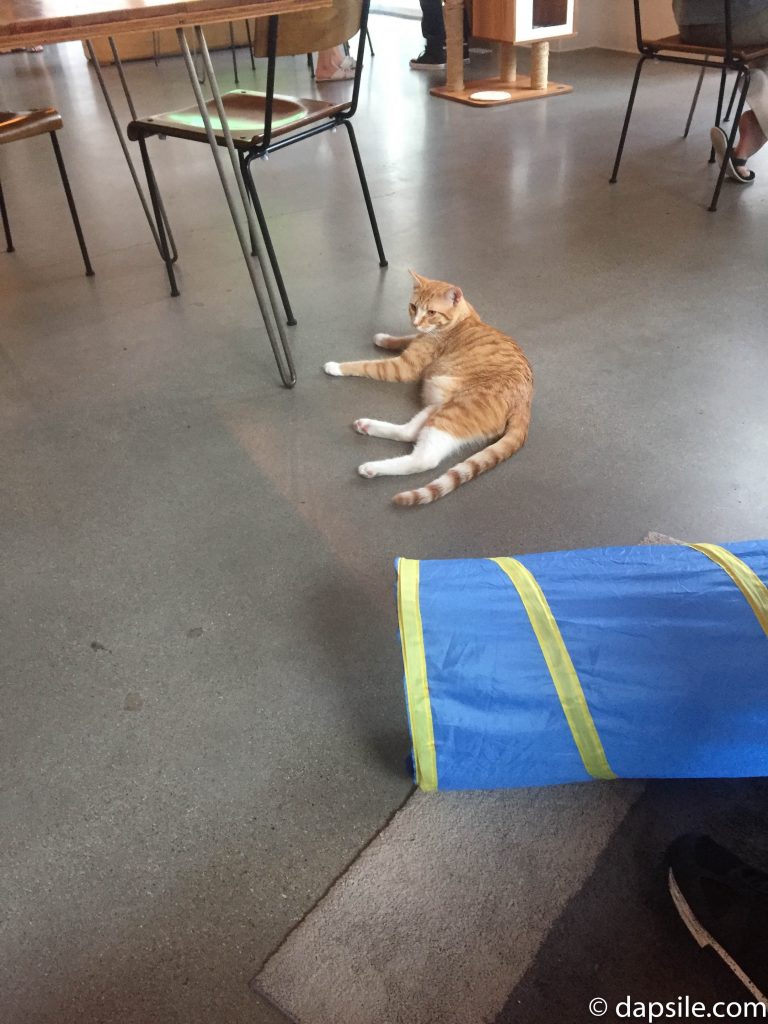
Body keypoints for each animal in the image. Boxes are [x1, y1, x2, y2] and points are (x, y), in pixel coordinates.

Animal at [325, 270, 536, 505]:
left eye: (432, 312)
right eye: (413, 307)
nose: (415, 322)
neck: (462, 319)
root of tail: (525, 403)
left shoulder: (403, 367)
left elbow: (365, 365)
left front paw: (336, 367)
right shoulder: (417, 338)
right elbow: (404, 339)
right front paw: (383, 338)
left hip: (453, 413)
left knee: (424, 459)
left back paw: (372, 467)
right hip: (439, 405)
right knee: (409, 433)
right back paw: (367, 427)